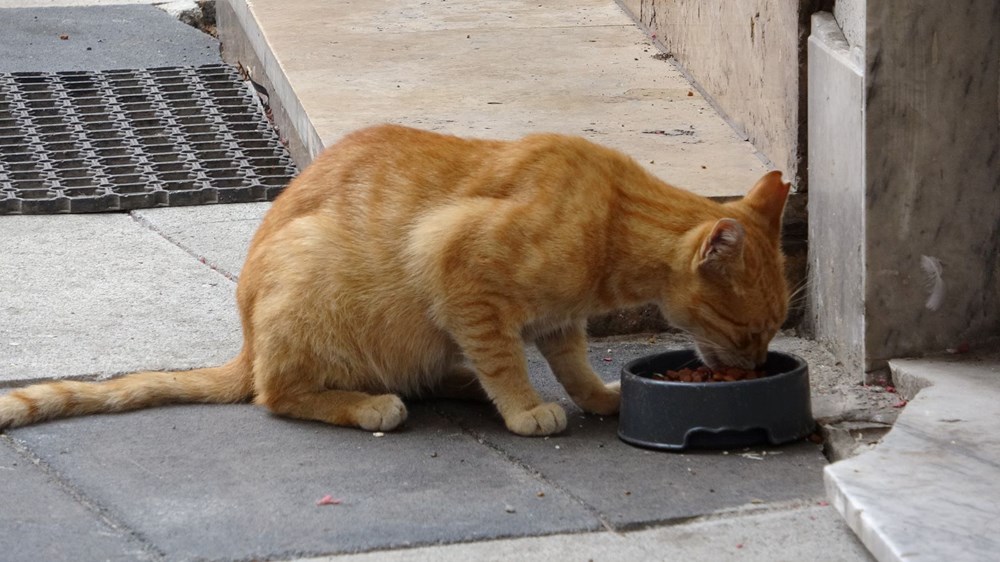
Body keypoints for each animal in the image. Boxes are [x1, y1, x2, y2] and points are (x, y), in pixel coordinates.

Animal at [0, 124, 788, 436]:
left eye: (772, 330)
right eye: (748, 328)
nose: (755, 364)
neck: (614, 218)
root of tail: (247, 342)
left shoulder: (560, 319)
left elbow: (567, 358)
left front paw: (593, 395)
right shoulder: (456, 267)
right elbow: (506, 357)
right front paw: (526, 409)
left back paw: (451, 382)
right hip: (311, 302)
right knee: (275, 395)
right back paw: (371, 405)